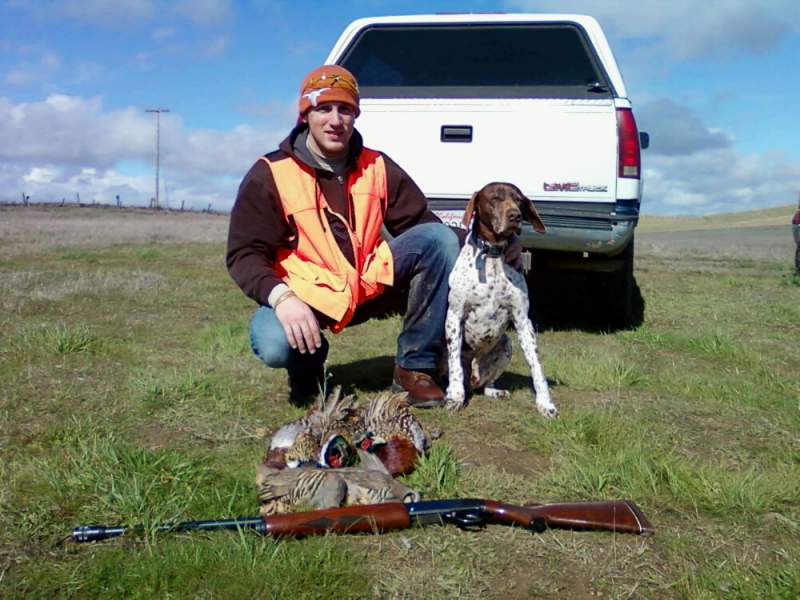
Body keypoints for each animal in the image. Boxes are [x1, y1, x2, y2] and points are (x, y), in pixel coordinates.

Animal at [444, 183, 556, 418]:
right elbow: (454, 366)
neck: (493, 255)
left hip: (507, 344)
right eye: (495, 198)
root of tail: (473, 378)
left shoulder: (523, 321)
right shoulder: (454, 316)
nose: (515, 216)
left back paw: (494, 391)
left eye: (519, 200)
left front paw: (546, 404)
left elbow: (536, 366)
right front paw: (455, 398)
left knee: (485, 383)